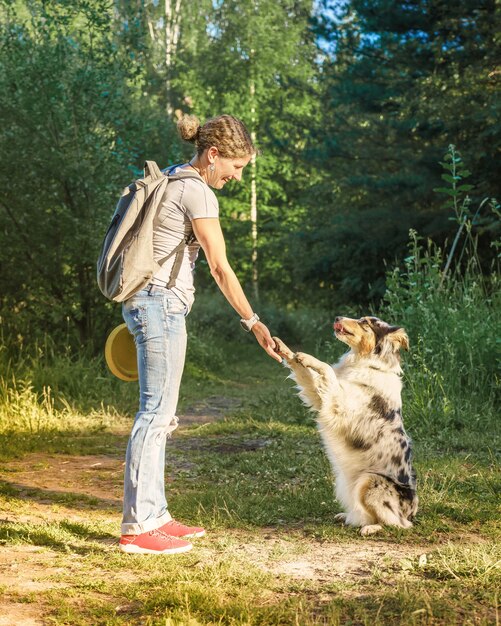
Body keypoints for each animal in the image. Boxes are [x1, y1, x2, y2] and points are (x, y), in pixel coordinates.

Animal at [272, 314, 416, 532]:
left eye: (365, 323)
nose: (338, 317)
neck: (367, 364)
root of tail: (412, 512)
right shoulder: (320, 398)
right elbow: (307, 375)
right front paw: (285, 349)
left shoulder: (340, 404)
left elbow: (327, 370)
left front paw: (309, 358)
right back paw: (347, 517)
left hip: (370, 481)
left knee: (397, 524)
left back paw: (371, 528)